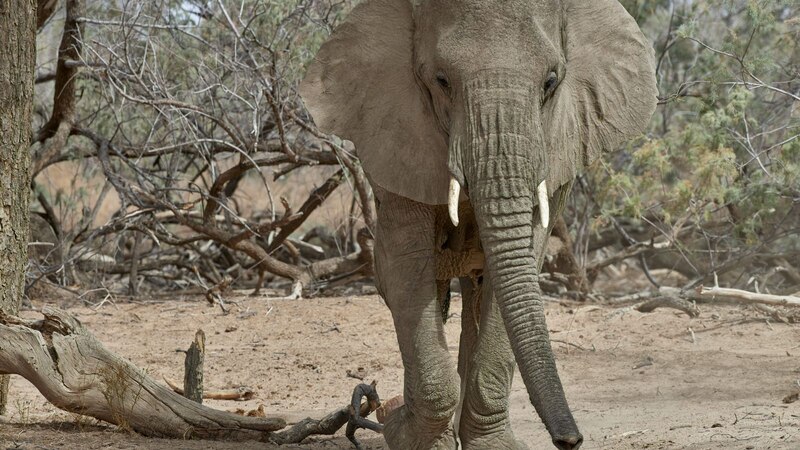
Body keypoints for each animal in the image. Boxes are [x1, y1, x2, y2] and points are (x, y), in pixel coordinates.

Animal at [300, 0, 656, 448]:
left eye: (550, 82)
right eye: (441, 81)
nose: (571, 440)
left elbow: (523, 262)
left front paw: (491, 444)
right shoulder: (396, 134)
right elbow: (405, 269)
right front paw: (402, 429)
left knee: (478, 286)